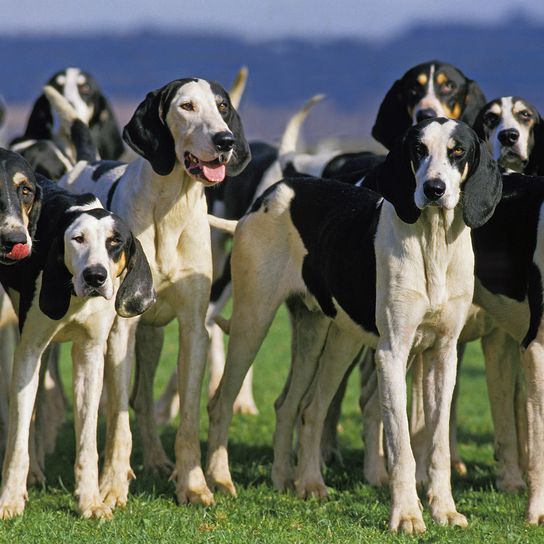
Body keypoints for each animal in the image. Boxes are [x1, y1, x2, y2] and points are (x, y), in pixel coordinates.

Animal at [0, 148, 155, 520]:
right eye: (78, 239)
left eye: (115, 243)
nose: (96, 276)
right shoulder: (28, 353)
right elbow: (17, 441)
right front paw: (9, 500)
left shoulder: (89, 355)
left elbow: (86, 441)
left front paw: (90, 500)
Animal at [207, 117, 502, 532]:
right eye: (418, 150)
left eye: (458, 151)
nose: (434, 189)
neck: (432, 243)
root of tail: (273, 192)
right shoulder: (391, 355)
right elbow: (401, 446)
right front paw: (407, 515)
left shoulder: (444, 355)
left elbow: (438, 444)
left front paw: (444, 510)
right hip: (253, 322)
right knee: (222, 403)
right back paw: (220, 480)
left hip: (327, 340)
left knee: (300, 407)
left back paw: (297, 480)